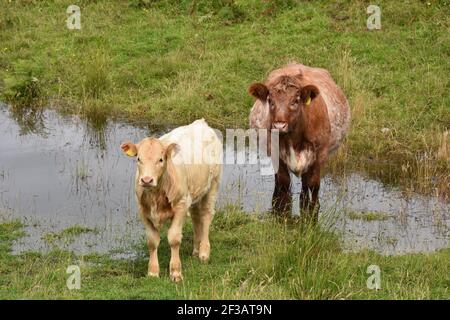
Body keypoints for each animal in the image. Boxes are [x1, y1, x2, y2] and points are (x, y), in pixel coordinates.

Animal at [248, 62, 350, 220]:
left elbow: (314, 184)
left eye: (295, 101)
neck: (294, 139)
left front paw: (313, 210)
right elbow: (284, 182)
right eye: (270, 101)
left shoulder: (319, 155)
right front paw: (283, 209)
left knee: (305, 183)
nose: (279, 125)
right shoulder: (276, 154)